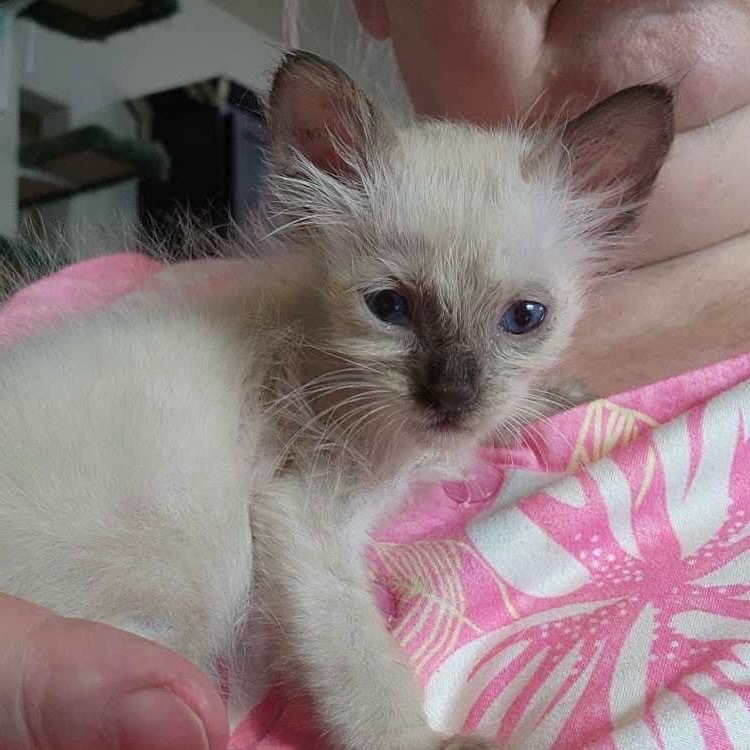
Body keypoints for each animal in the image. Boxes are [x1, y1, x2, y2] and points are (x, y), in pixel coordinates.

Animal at [0, 54, 676, 750]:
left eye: (525, 317)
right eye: (389, 307)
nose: (452, 397)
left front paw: (563, 395)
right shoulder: (300, 512)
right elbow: (358, 658)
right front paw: (421, 741)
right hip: (173, 597)